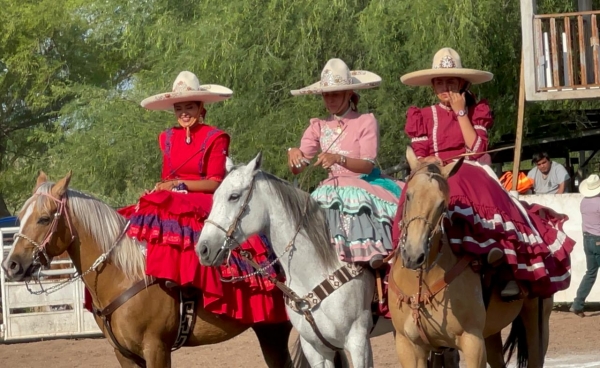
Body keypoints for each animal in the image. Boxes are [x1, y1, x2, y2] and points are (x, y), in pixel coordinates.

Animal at [0, 171, 296, 368]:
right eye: (20, 217)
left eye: (44, 218)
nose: (11, 265)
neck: (124, 274)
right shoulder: (124, 354)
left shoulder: (156, 349)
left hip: (277, 331)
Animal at [195, 152, 396, 368]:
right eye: (214, 196)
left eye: (234, 196)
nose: (203, 249)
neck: (316, 271)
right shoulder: (316, 349)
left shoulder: (358, 343)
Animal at [390, 146, 552, 368]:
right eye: (408, 196)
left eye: (442, 204)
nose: (414, 255)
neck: (421, 282)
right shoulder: (407, 346)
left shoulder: (472, 341)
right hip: (492, 332)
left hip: (536, 318)